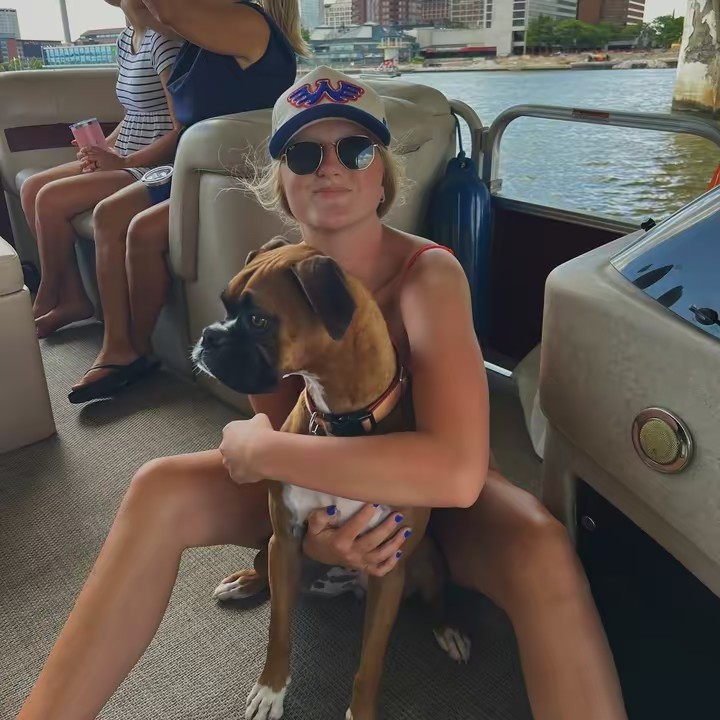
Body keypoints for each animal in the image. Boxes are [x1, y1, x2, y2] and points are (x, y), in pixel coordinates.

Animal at [193, 238, 469, 720]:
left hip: (427, 559)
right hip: (272, 549)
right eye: (224, 304)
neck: (340, 427)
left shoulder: (388, 569)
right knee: (265, 572)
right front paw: (271, 690)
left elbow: (369, 665)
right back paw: (244, 582)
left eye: (258, 320)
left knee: (437, 596)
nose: (209, 335)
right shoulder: (286, 541)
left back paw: (448, 627)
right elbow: (279, 632)